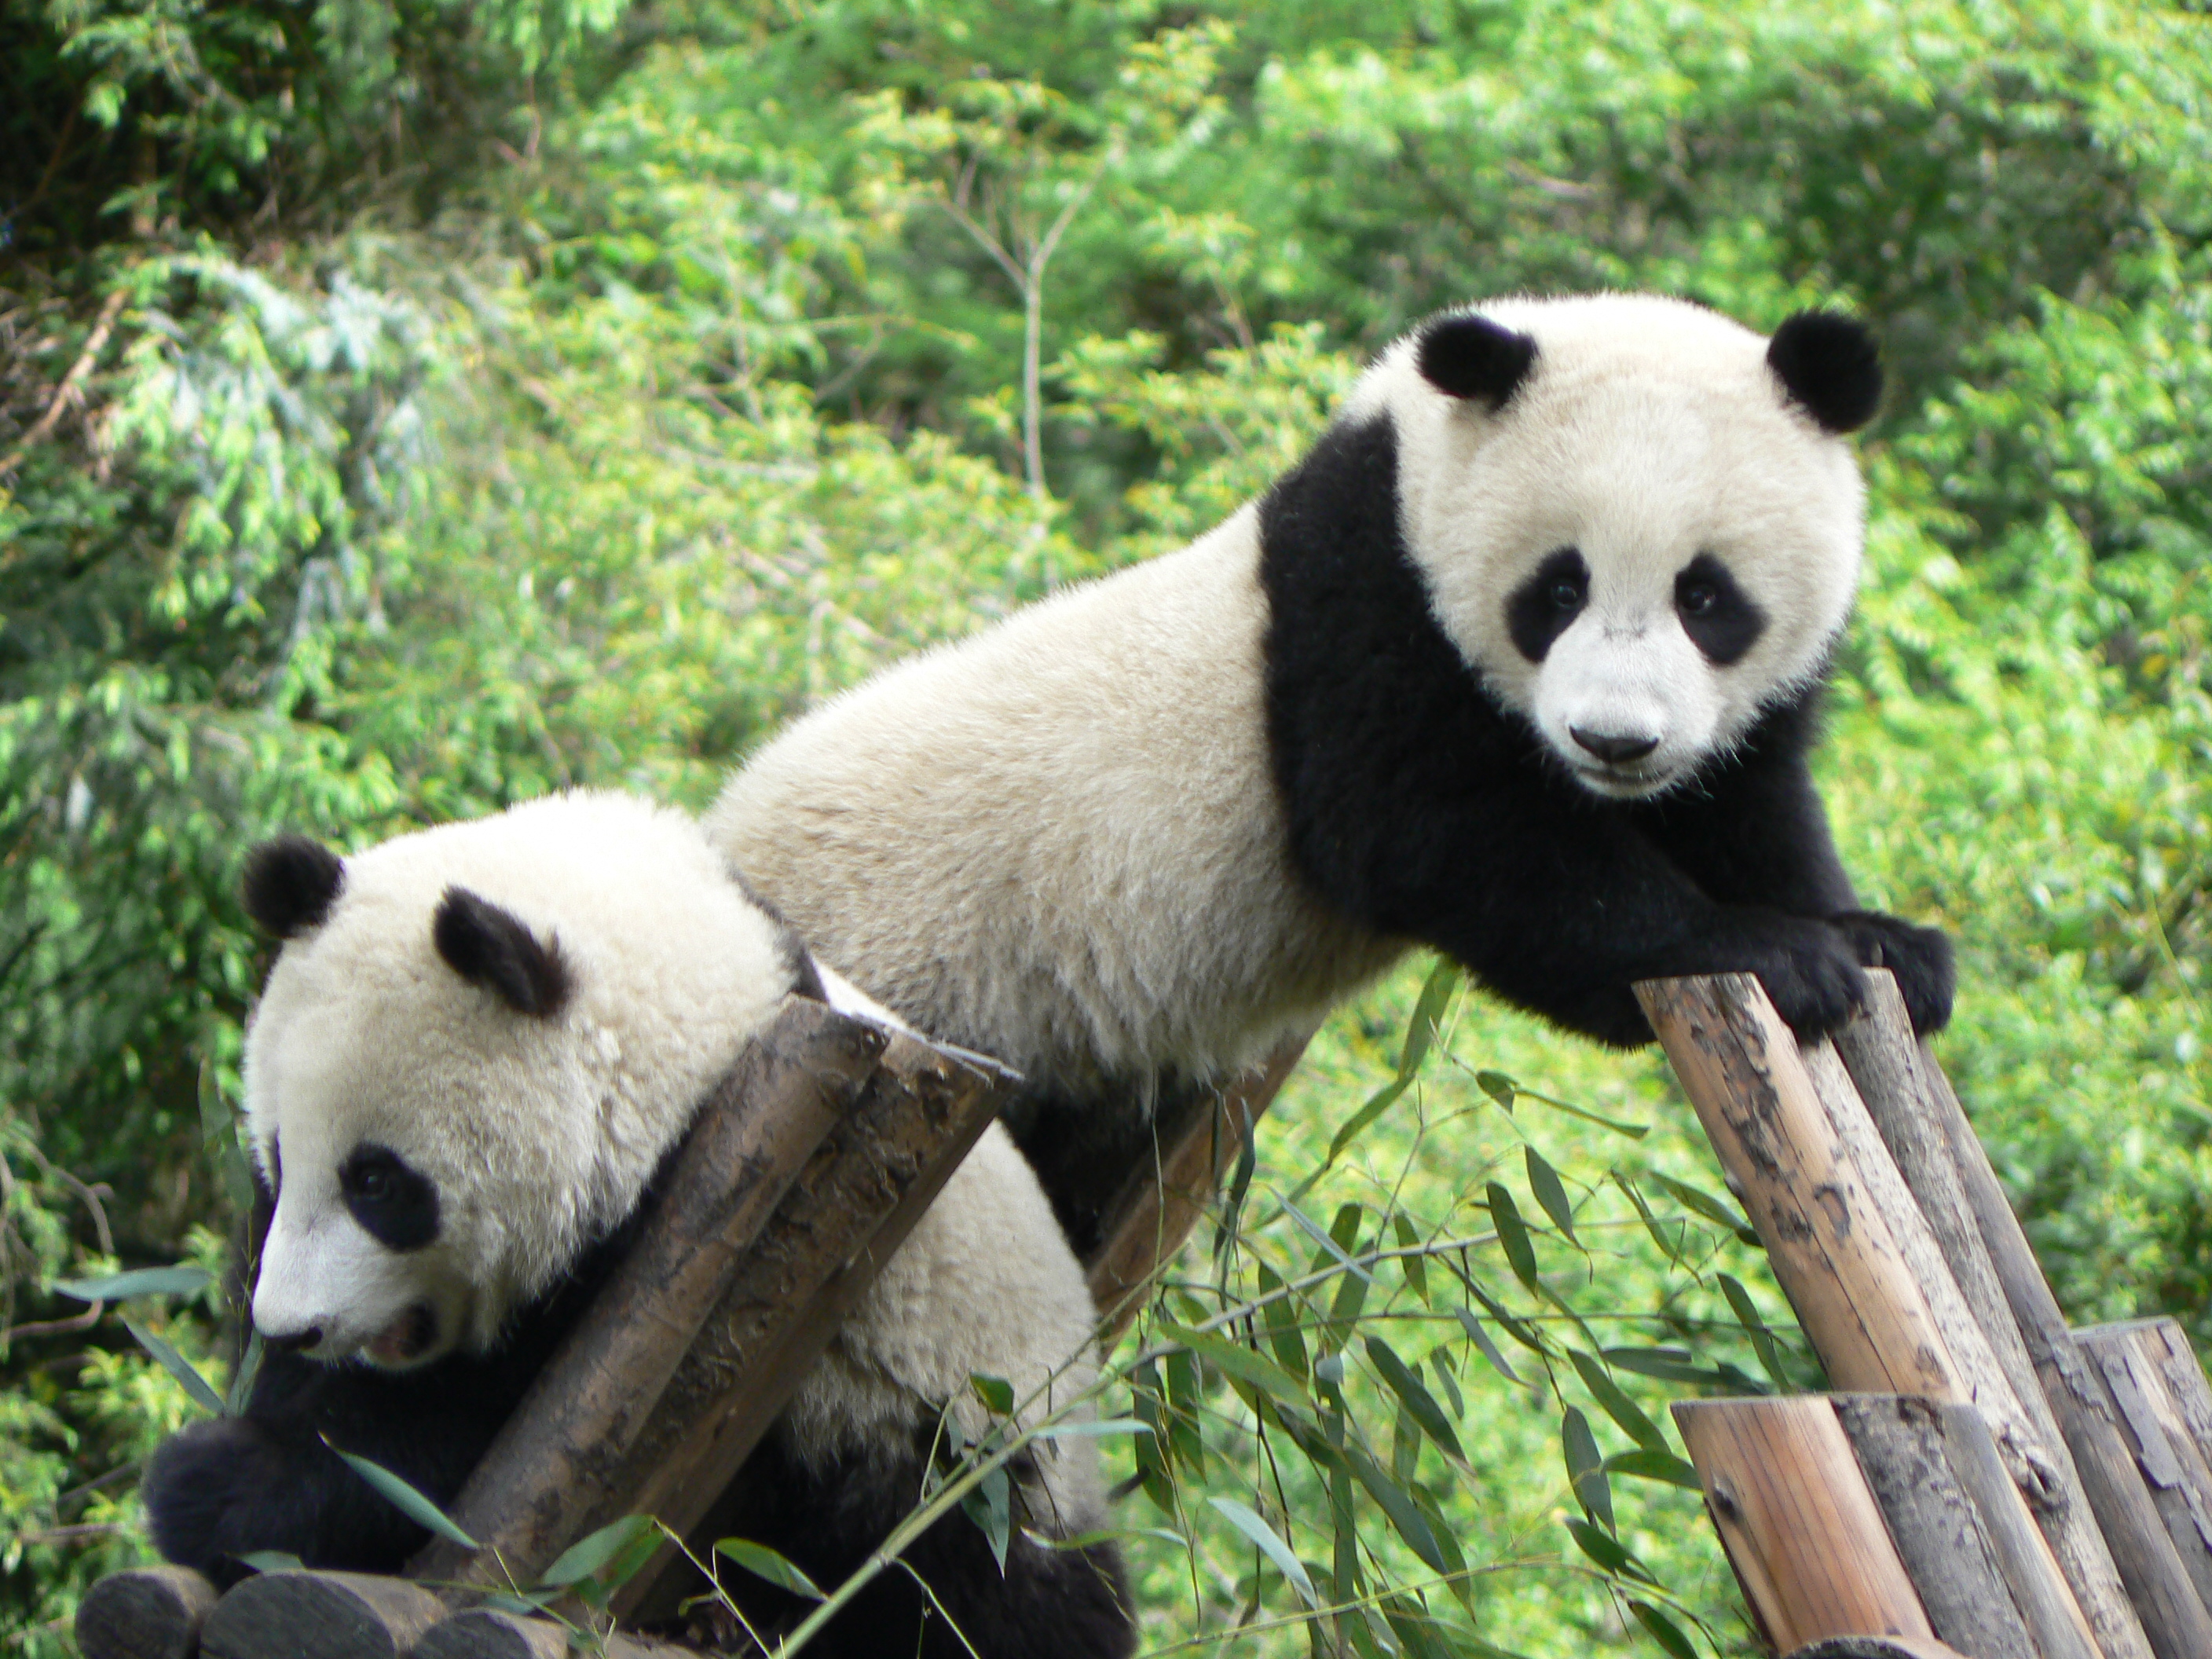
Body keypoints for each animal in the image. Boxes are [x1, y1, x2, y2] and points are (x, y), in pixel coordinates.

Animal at [140, 791, 1134, 1659]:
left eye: (378, 1183)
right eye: (278, 1153)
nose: (292, 1327)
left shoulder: (706, 1246)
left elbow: (473, 1439)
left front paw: (218, 1484)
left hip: (956, 1444)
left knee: (976, 1593)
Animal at [706, 293, 1956, 1255]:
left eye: (1706, 596)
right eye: (1556, 589)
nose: (1613, 742)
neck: (1401, 455)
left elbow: (1748, 806)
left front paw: (1881, 943)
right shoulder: (1365, 599)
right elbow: (1437, 835)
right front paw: (1770, 953)